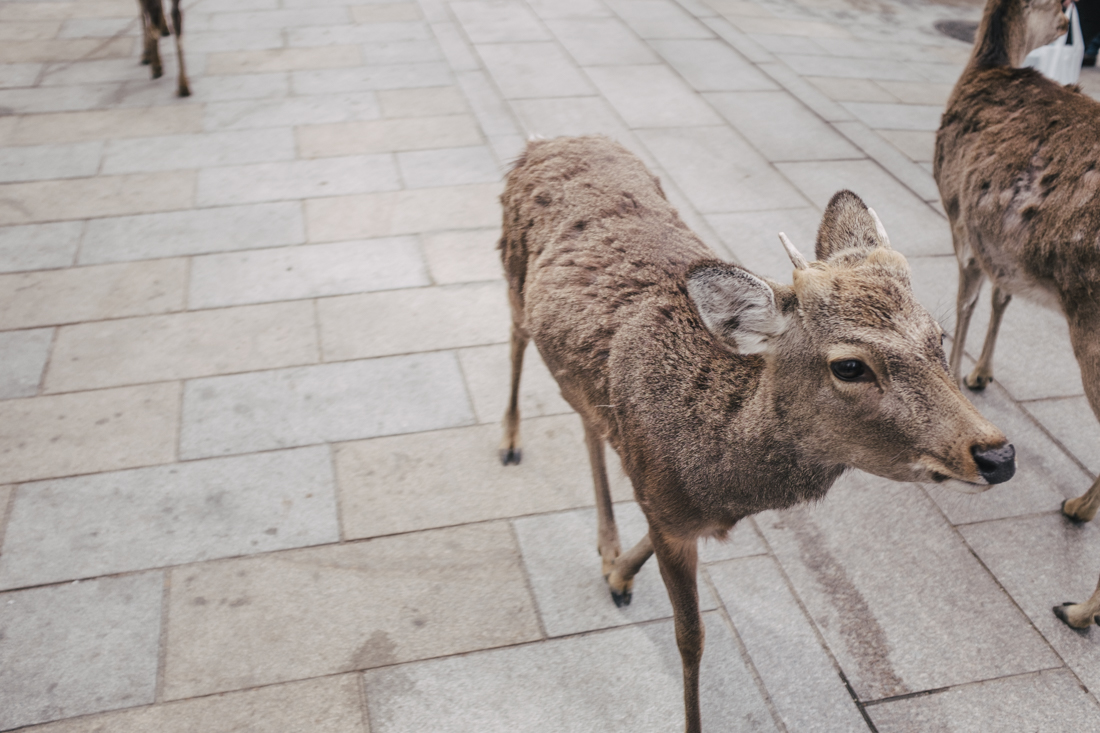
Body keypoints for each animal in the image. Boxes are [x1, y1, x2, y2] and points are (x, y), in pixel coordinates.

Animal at [499, 134, 1012, 726]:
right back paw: (509, 441)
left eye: (939, 336)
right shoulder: (665, 508)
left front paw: (617, 573)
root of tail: (551, 139)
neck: (717, 471)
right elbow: (691, 639)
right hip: (509, 268)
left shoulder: (671, 501)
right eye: (849, 366)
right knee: (515, 338)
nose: (998, 454)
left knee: (583, 413)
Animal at [932, 0, 1100, 629]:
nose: (1072, 20)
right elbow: (1002, 297)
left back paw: (1078, 610)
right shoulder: (998, 248)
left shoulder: (958, 216)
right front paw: (981, 374)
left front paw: (957, 380)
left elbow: (964, 302)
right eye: (1061, 5)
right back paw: (1077, 506)